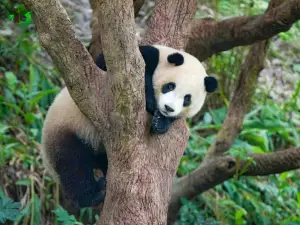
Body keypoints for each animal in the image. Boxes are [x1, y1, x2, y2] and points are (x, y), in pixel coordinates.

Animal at [40, 44, 218, 208]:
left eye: (187, 99)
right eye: (170, 86)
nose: (168, 108)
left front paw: (161, 122)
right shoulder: (143, 57)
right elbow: (108, 67)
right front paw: (150, 102)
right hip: (68, 130)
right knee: (73, 165)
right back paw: (95, 194)